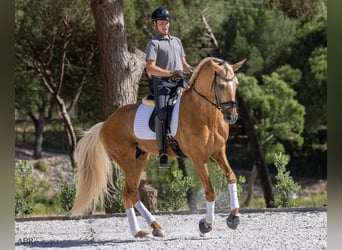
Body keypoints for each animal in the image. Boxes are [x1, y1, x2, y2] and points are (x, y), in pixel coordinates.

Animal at [70, 57, 246, 238]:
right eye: (221, 86)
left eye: (236, 84)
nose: (232, 117)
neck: (205, 115)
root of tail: (105, 124)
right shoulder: (198, 158)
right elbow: (210, 191)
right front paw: (206, 224)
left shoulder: (219, 152)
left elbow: (231, 177)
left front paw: (233, 217)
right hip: (126, 160)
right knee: (131, 192)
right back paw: (148, 228)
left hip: (140, 158)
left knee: (129, 193)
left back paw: (148, 229)